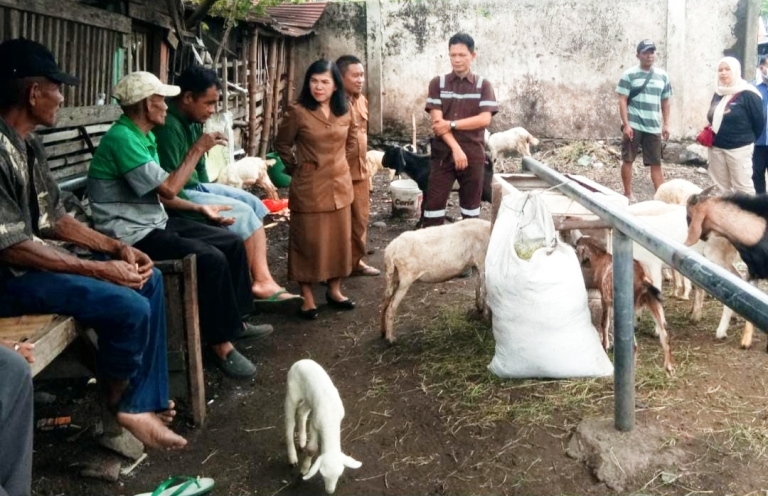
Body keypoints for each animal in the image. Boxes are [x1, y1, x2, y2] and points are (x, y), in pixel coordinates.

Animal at [284, 358, 364, 494]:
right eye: (322, 475)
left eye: (339, 475)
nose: (330, 491)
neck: (330, 422)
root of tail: (300, 361)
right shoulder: (314, 424)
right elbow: (312, 449)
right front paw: (304, 469)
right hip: (292, 393)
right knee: (289, 423)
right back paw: (292, 457)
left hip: (308, 399)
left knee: (301, 412)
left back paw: (302, 441)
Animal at [576, 235, 672, 372]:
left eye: (576, 244)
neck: (600, 259)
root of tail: (643, 278)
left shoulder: (604, 297)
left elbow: (604, 322)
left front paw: (605, 345)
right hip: (654, 302)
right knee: (665, 335)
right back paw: (669, 368)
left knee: (634, 345)